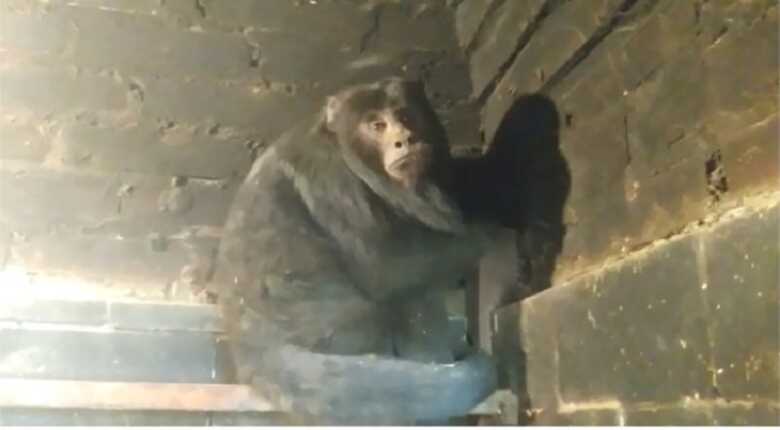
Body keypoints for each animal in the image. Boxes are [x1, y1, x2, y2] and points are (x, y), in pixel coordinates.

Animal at [212, 77, 497, 425]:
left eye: (405, 116)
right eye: (377, 125)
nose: (405, 139)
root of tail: (250, 349)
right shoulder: (329, 172)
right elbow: (384, 269)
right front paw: (489, 231)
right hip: (334, 332)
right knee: (404, 296)